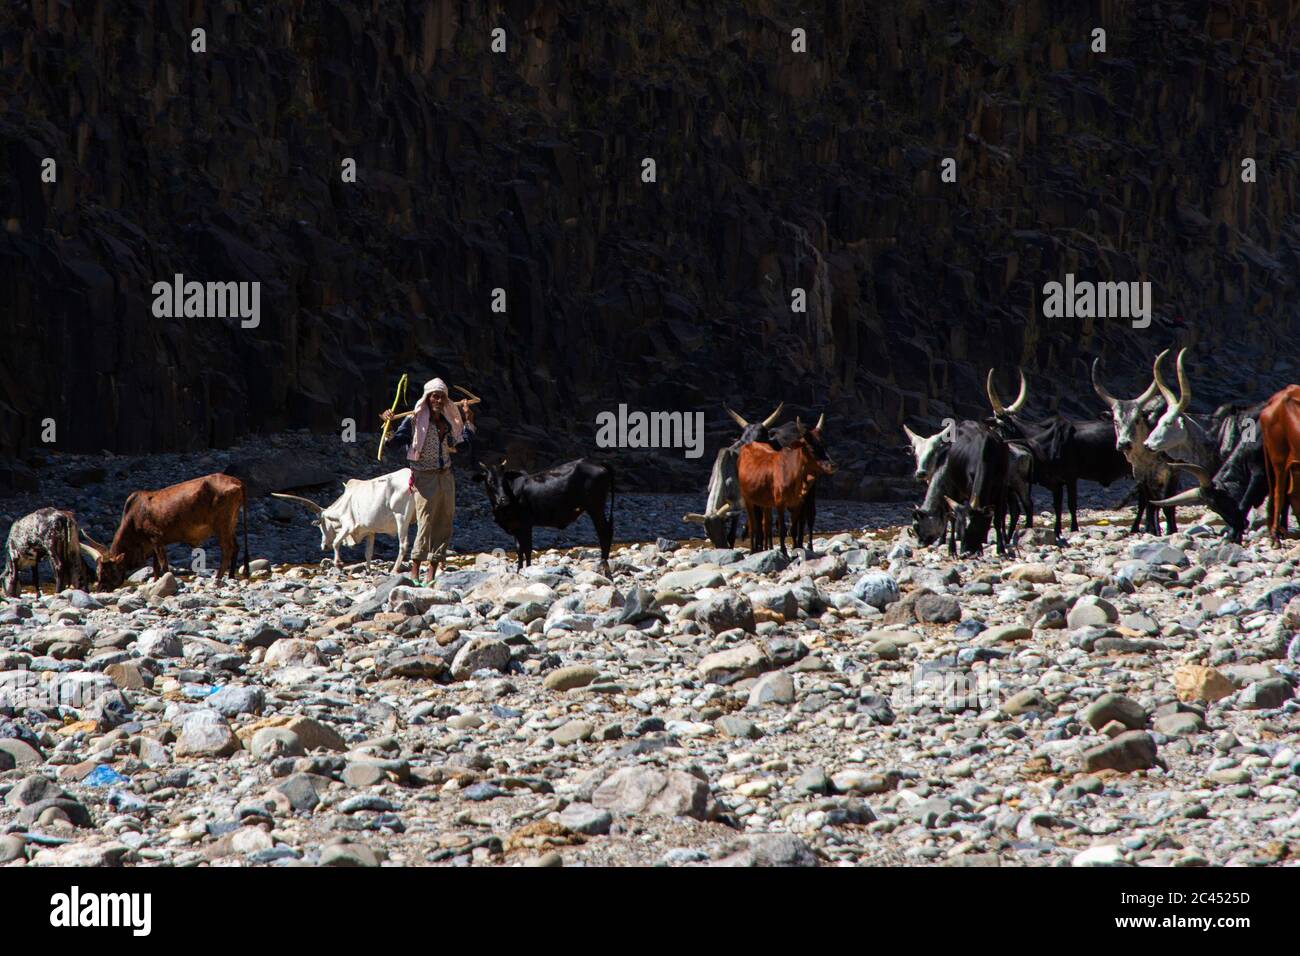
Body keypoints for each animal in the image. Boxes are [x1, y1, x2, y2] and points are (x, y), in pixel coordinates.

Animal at [84, 473, 253, 590]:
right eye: (98, 572)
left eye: (107, 571)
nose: (100, 589)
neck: (133, 517)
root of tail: (237, 482)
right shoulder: (151, 542)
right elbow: (155, 566)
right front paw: (155, 582)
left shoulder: (156, 537)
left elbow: (163, 564)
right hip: (231, 523)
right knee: (236, 547)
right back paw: (231, 576)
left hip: (221, 524)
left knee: (227, 549)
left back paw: (218, 578)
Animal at [273, 468, 416, 572]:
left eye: (321, 525)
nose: (323, 546)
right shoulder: (370, 531)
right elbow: (368, 552)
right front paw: (368, 570)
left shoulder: (348, 525)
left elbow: (336, 542)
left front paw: (338, 563)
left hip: (401, 517)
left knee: (403, 544)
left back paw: (395, 570)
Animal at [475, 457, 616, 574]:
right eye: (490, 481)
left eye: (504, 481)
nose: (504, 500)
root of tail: (597, 463)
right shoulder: (515, 526)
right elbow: (519, 549)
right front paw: (519, 571)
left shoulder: (526, 524)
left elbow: (527, 548)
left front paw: (528, 569)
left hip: (595, 508)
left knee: (604, 532)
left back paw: (603, 563)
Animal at [738, 421, 837, 556]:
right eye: (811, 447)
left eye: (824, 445)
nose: (832, 465)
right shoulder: (780, 502)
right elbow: (782, 528)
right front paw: (784, 552)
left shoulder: (798, 503)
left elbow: (794, 527)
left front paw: (796, 550)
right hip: (748, 499)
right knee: (754, 524)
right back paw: (754, 550)